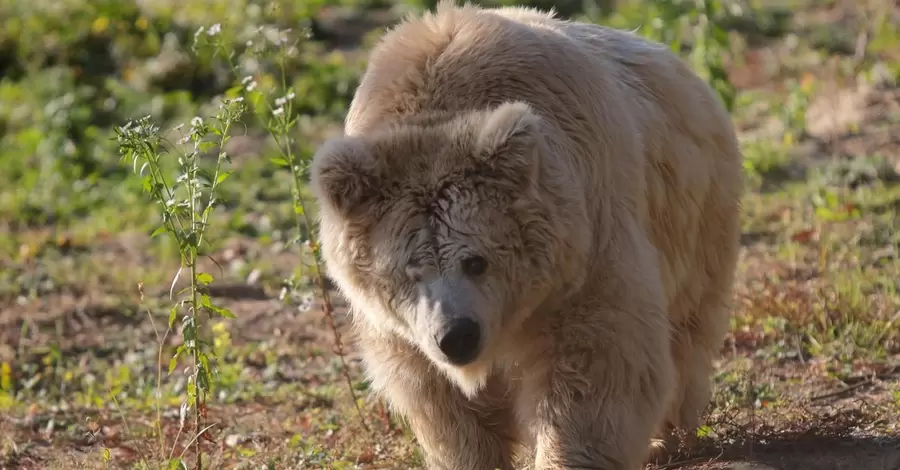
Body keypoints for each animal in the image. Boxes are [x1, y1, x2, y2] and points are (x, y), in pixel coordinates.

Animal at [310, 1, 744, 468]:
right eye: (409, 271)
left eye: (476, 261)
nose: (457, 337)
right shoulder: (403, 330)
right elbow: (442, 400)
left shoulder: (585, 247)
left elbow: (595, 363)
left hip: (694, 214)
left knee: (687, 329)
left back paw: (668, 436)